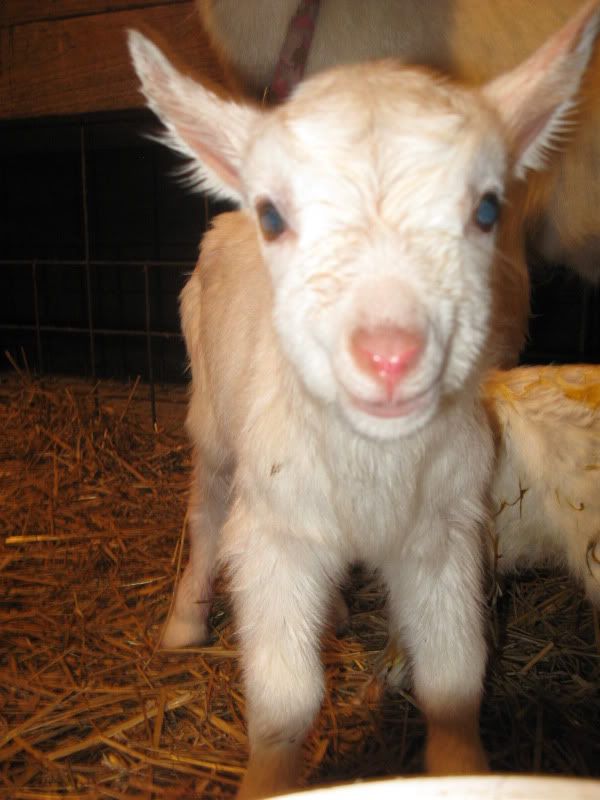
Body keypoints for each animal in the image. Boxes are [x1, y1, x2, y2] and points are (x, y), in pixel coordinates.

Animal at [128, 4, 599, 796]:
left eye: (487, 209)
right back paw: (185, 620)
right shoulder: (275, 534)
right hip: (213, 419)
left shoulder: (443, 536)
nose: (389, 355)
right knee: (207, 509)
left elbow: (453, 679)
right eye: (276, 217)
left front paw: (463, 768)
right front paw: (269, 775)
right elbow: (285, 700)